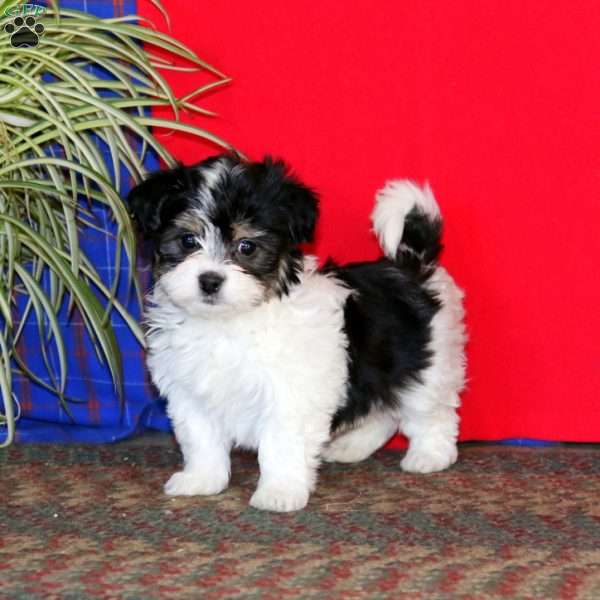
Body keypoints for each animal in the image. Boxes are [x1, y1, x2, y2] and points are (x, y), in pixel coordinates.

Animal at [126, 155, 466, 510]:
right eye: (188, 240)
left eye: (247, 246)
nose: (209, 280)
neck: (229, 320)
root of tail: (412, 266)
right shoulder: (190, 391)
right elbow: (200, 437)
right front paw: (202, 479)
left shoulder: (290, 394)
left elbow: (281, 443)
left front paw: (280, 491)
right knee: (380, 411)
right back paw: (352, 447)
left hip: (428, 364)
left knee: (429, 411)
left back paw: (430, 455)